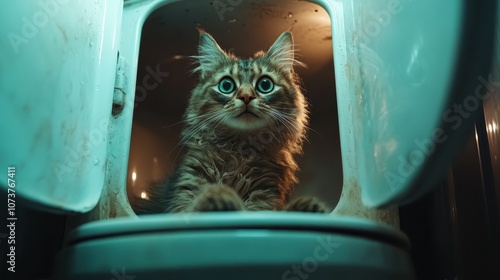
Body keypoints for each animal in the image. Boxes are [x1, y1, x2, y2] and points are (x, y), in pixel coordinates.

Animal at [134, 29, 328, 214]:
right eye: (226, 85)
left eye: (265, 85)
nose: (246, 96)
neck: (238, 151)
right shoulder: (184, 192)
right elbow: (194, 205)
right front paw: (219, 197)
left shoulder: (265, 196)